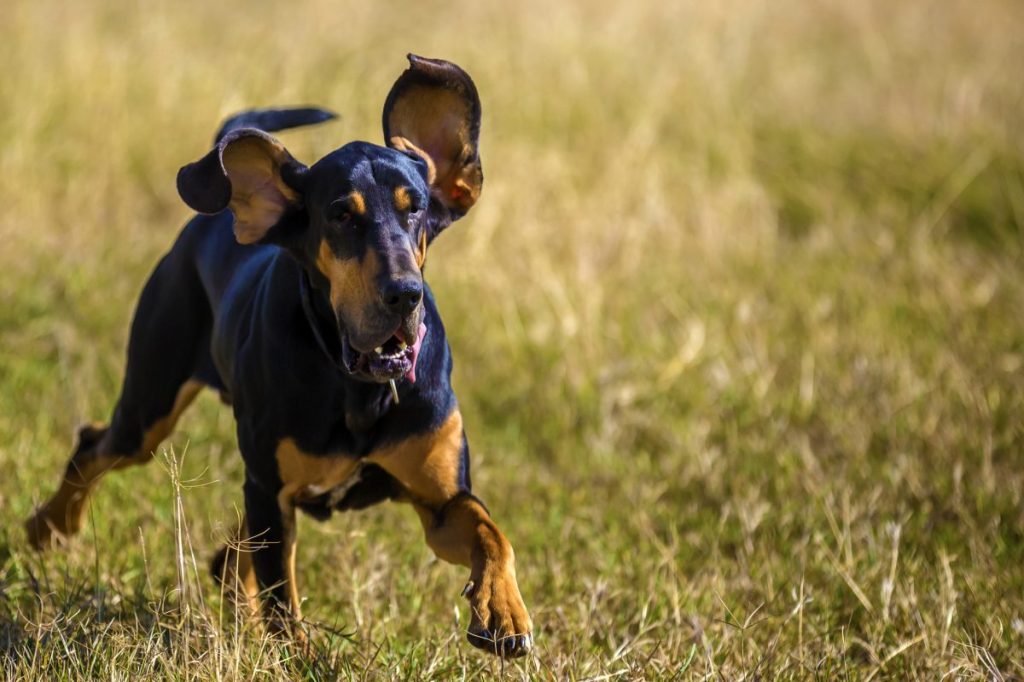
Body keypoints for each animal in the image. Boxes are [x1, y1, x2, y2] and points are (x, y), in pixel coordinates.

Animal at [24, 55, 536, 655]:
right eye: (340, 216)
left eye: (417, 211)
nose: (404, 295)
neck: (358, 385)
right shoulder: (271, 490)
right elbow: (283, 604)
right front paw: (301, 658)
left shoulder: (439, 497)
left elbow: (490, 532)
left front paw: (503, 612)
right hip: (152, 408)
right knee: (97, 445)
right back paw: (47, 530)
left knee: (227, 559)